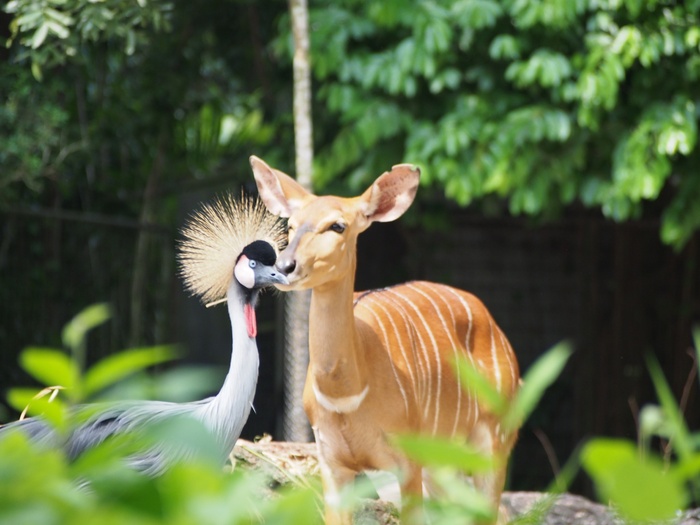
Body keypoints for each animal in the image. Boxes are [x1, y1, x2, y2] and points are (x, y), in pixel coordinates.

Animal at [250, 155, 520, 520]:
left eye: (338, 226)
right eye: (290, 226)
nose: (285, 266)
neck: (347, 395)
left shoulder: (407, 464)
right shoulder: (333, 467)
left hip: (493, 442)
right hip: (443, 464)